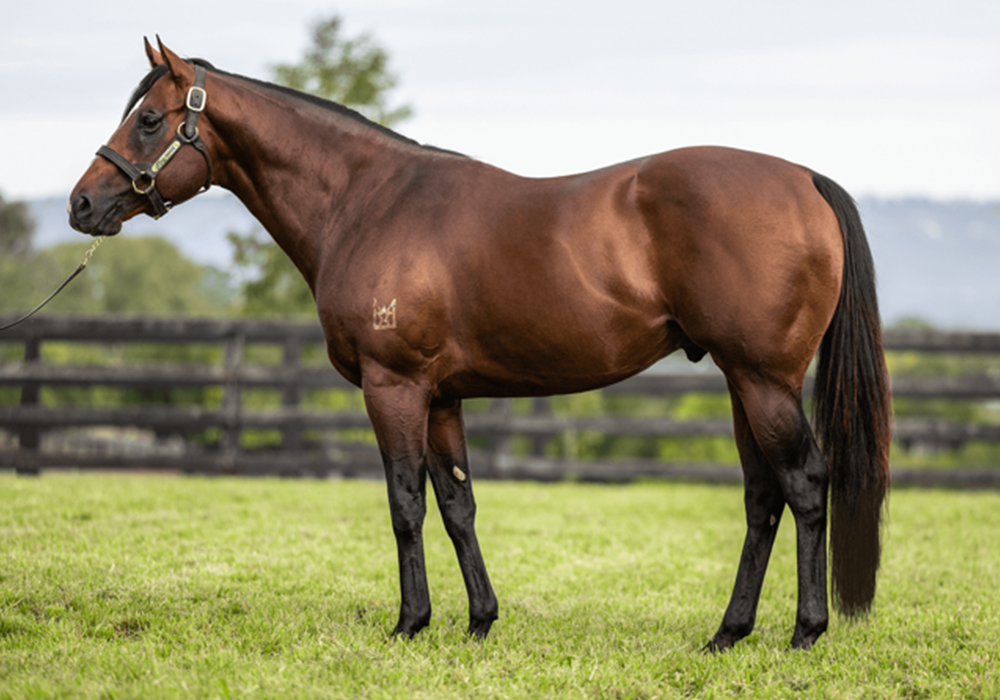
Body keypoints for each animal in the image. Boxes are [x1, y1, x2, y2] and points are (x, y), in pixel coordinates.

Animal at [69, 38, 891, 651]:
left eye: (149, 119)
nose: (82, 204)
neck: (367, 201)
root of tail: (805, 180)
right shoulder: (441, 397)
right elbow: (457, 503)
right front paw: (479, 621)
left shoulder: (394, 386)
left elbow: (405, 503)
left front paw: (410, 623)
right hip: (741, 382)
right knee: (762, 496)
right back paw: (728, 633)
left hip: (763, 380)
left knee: (804, 483)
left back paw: (805, 631)